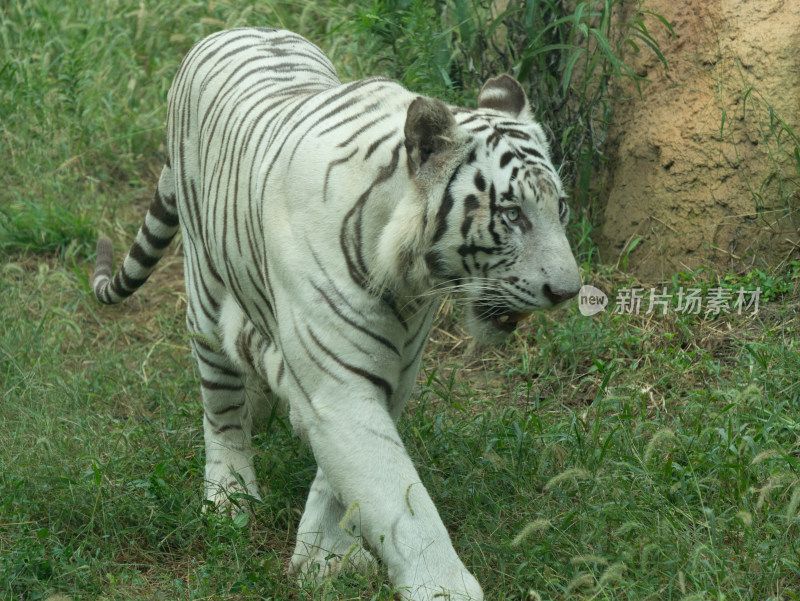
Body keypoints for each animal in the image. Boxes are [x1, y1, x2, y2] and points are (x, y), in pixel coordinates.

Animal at [94, 28, 580, 600]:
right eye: (512, 214)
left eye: (560, 208)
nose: (568, 290)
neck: (406, 280)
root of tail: (233, 28)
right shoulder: (338, 385)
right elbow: (401, 499)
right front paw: (442, 586)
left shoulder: (392, 373)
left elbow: (343, 481)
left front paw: (324, 557)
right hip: (206, 298)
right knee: (222, 407)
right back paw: (229, 497)